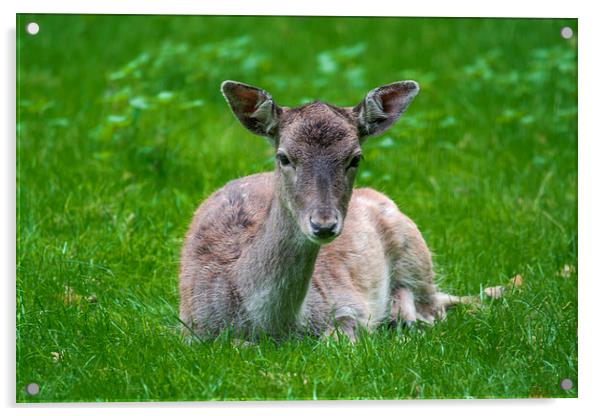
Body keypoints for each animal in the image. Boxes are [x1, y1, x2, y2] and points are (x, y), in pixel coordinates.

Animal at [178, 81, 474, 342]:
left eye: (355, 158)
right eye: (283, 157)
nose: (323, 224)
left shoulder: (349, 302)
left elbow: (336, 339)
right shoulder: (191, 329)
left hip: (415, 250)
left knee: (435, 301)